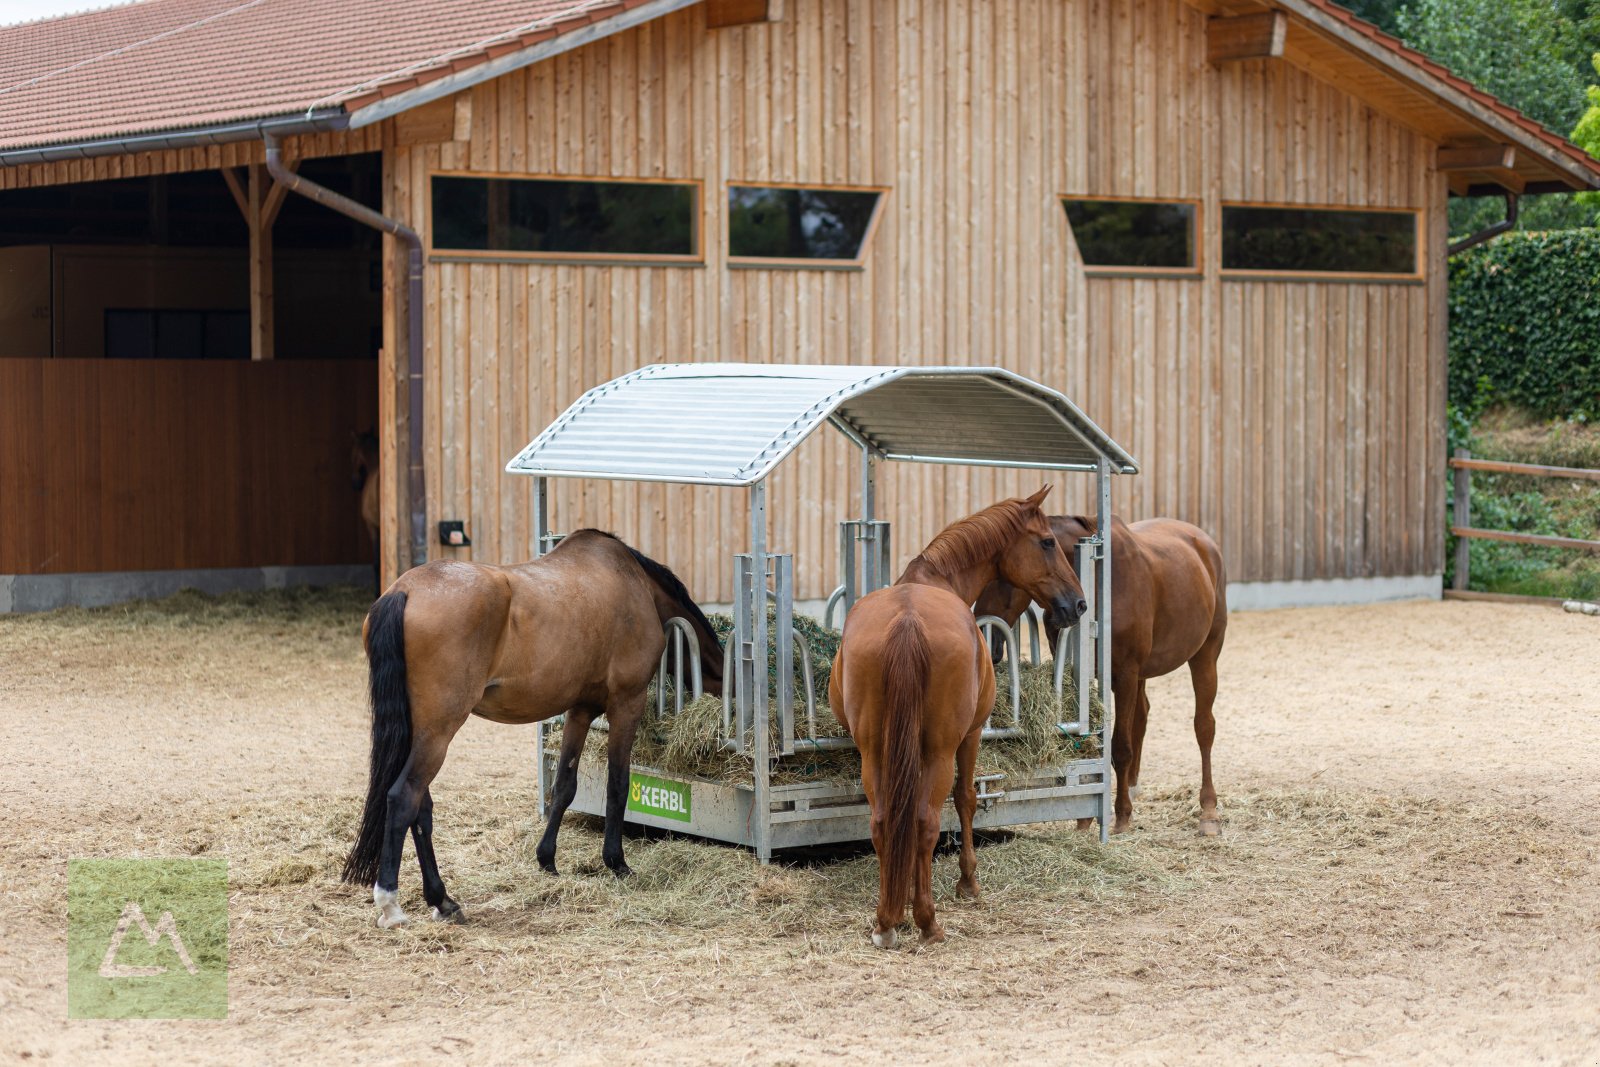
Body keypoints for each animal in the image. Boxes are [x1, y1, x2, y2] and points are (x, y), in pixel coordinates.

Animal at [350, 531, 732, 927]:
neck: (634, 584)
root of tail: (404, 591)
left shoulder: (581, 710)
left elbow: (564, 785)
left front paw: (547, 858)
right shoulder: (627, 704)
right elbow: (617, 784)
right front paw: (616, 862)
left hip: (422, 732)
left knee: (420, 806)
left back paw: (443, 901)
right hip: (438, 732)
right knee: (403, 798)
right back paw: (391, 904)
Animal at [825, 489, 1088, 947]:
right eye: (1047, 542)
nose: (1078, 603)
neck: (933, 578)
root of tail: (907, 621)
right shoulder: (972, 735)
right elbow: (966, 799)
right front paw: (967, 883)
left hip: (874, 751)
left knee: (884, 820)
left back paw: (886, 921)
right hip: (942, 748)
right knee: (927, 820)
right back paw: (928, 922)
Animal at [972, 515, 1222, 831]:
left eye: (1002, 578)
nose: (987, 645)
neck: (1100, 581)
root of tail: (1204, 541)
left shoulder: (1125, 674)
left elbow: (1120, 748)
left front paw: (1122, 817)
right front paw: (1085, 819)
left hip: (1205, 654)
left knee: (1204, 726)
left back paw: (1208, 811)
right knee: (1142, 716)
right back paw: (1134, 789)